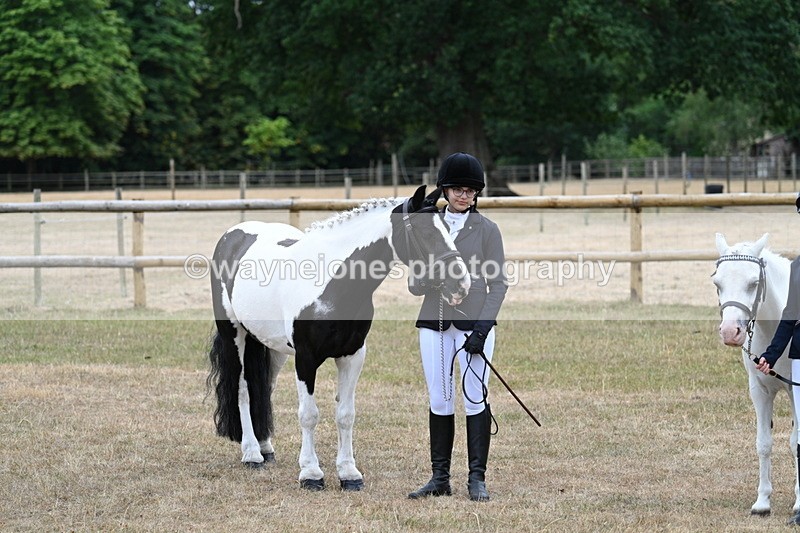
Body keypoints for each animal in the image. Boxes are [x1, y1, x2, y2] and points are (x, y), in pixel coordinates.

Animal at [207, 185, 471, 491]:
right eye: (425, 232)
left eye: (446, 227)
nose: (461, 284)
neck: (332, 283)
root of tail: (233, 235)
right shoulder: (306, 359)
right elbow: (309, 415)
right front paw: (311, 473)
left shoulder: (352, 355)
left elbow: (346, 415)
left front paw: (349, 474)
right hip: (235, 335)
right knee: (243, 389)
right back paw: (251, 454)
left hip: (272, 347)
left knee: (264, 389)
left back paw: (265, 448)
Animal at [712, 232, 800, 515]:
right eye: (717, 282)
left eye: (754, 283)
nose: (731, 332)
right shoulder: (759, 391)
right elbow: (763, 443)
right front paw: (762, 502)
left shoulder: (796, 390)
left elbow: (796, 443)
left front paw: (798, 503)